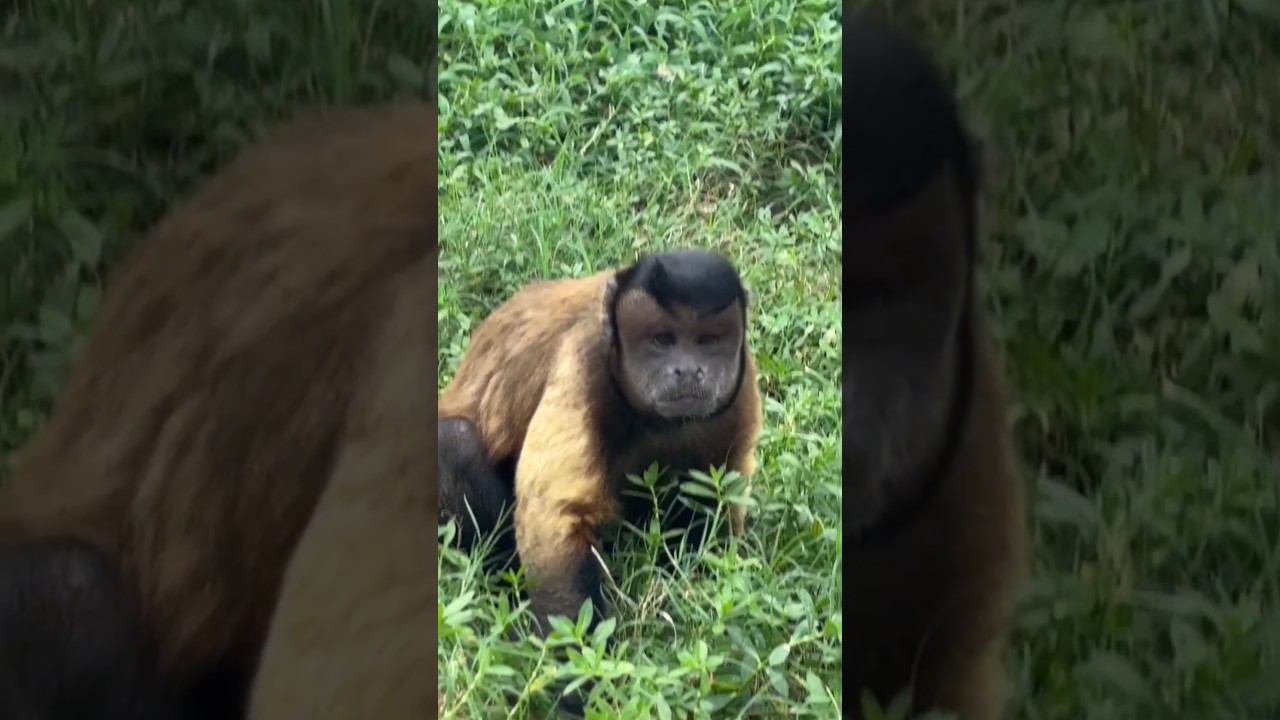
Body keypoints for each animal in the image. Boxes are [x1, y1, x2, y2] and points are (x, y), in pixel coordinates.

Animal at [436, 248, 763, 713]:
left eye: (707, 340)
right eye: (662, 340)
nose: (687, 370)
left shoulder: (740, 381)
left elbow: (717, 496)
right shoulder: (584, 361)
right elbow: (553, 520)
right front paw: (582, 685)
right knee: (455, 439)